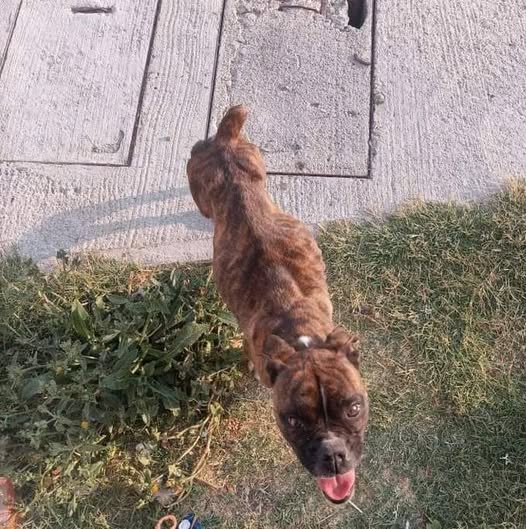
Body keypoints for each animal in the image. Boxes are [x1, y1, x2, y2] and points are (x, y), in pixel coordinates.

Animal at [187, 105, 368, 504]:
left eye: (353, 408)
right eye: (294, 421)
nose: (333, 454)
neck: (301, 337)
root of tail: (225, 139)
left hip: (254, 162)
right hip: (199, 186)